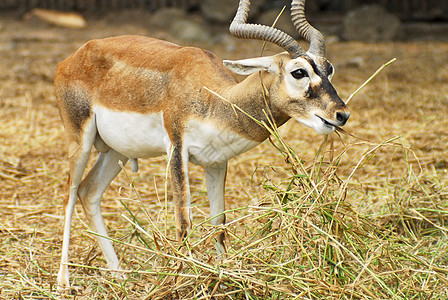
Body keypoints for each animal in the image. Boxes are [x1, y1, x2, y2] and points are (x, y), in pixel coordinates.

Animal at [55, 0, 350, 288]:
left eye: (329, 68)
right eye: (298, 72)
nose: (341, 114)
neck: (214, 98)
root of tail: (73, 57)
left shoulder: (217, 162)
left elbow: (219, 220)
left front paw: (223, 278)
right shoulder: (176, 149)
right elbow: (183, 221)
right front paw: (179, 282)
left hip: (117, 152)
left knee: (88, 192)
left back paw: (119, 275)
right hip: (80, 141)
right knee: (69, 195)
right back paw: (63, 282)